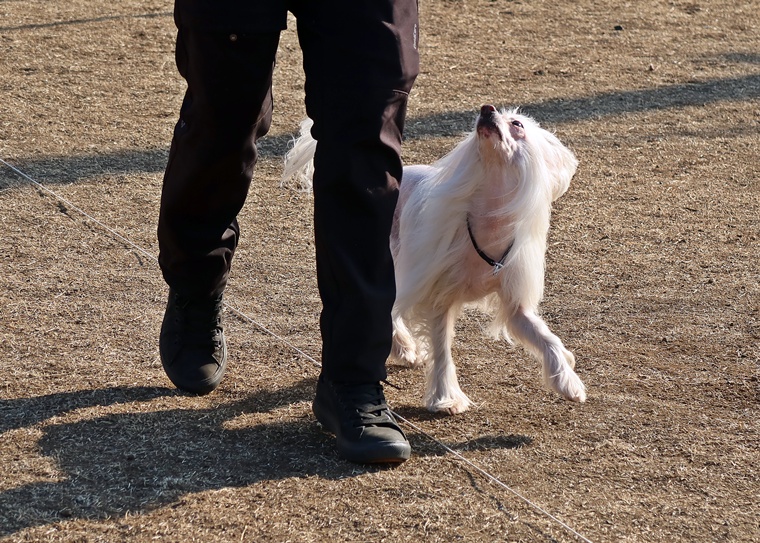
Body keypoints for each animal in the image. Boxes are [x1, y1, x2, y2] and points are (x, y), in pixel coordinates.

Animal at [282, 105, 586, 414]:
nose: (486, 109)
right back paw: (403, 346)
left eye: (517, 124)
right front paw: (446, 398)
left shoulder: (516, 307)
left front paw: (568, 381)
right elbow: (441, 351)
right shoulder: (439, 298)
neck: (489, 219)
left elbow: (546, 338)